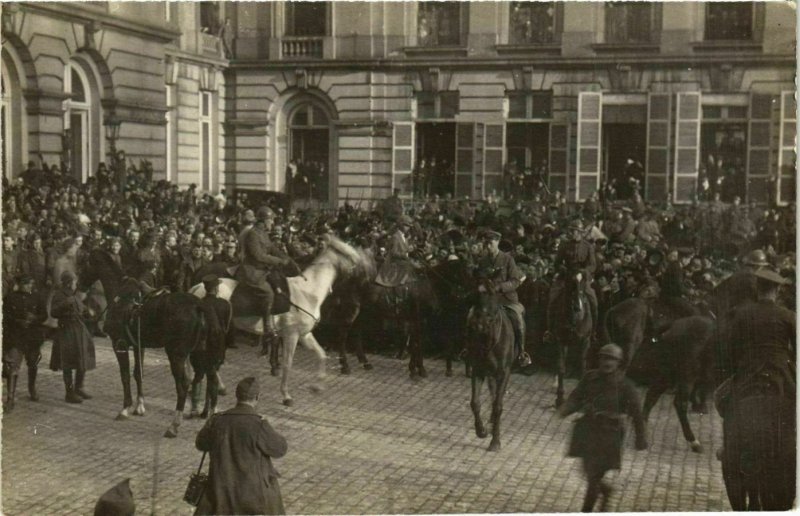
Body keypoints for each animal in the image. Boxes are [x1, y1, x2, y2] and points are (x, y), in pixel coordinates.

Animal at [190, 235, 372, 408]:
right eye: (347, 251)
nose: (366, 270)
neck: (307, 292)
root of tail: (197, 287)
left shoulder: (304, 335)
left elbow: (321, 355)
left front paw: (316, 387)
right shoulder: (291, 335)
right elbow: (287, 364)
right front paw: (286, 396)